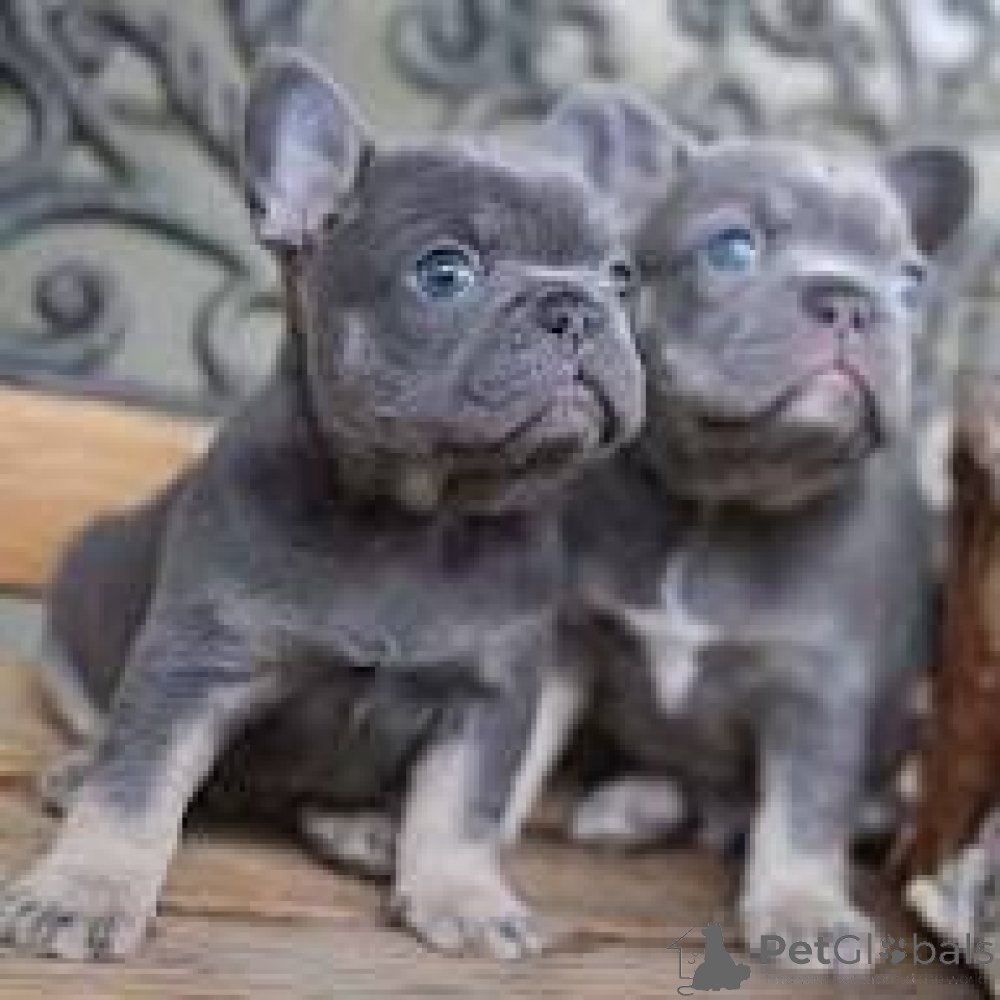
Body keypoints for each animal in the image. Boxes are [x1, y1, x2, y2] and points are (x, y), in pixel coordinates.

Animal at [0, 51, 643, 961]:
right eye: (445, 273)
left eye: (621, 278)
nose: (578, 309)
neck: (414, 518)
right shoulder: (196, 662)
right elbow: (137, 783)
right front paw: (84, 891)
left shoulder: (490, 696)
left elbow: (463, 810)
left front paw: (467, 896)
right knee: (100, 725)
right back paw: (77, 768)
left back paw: (366, 828)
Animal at [522, 87, 974, 963]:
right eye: (732, 248)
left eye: (910, 284)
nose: (852, 299)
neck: (723, 498)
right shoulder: (567, 639)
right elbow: (520, 741)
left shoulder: (819, 687)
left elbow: (804, 811)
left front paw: (804, 909)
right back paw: (633, 804)